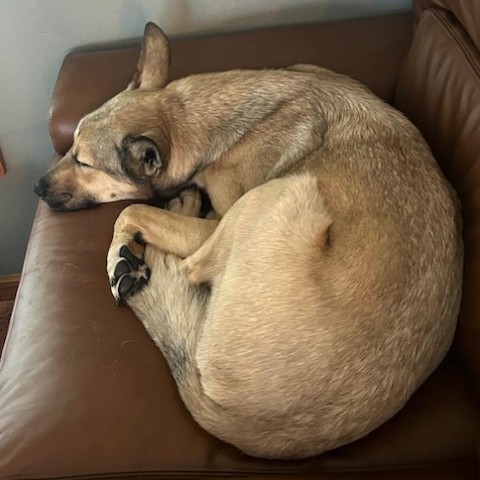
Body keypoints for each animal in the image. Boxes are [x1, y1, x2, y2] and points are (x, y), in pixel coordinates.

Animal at [32, 23, 462, 462]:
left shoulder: (216, 220)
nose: (36, 188)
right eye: (71, 148)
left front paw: (119, 255)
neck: (193, 117)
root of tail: (239, 422)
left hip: (281, 191)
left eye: (83, 163)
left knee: (188, 265)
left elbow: (132, 212)